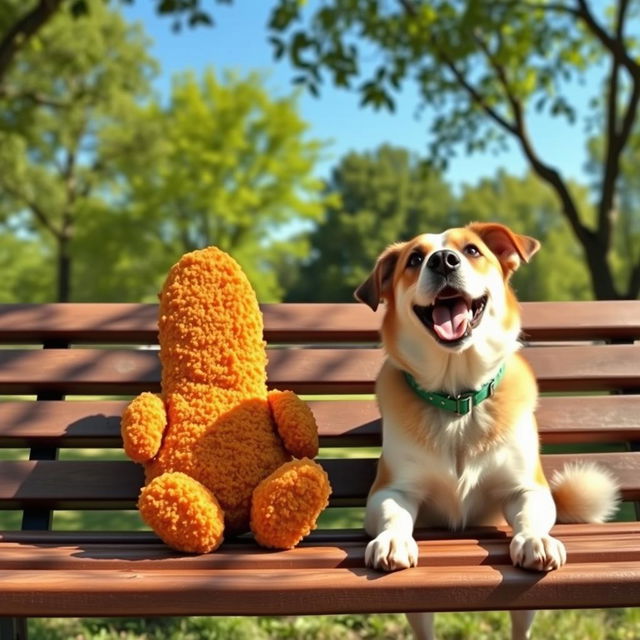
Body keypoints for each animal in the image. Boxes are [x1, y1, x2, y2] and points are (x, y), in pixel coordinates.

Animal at [356, 221, 620, 640]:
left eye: (472, 250)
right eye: (415, 258)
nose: (443, 260)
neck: (457, 400)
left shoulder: (526, 488)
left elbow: (529, 513)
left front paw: (534, 538)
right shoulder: (391, 490)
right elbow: (393, 513)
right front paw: (393, 539)